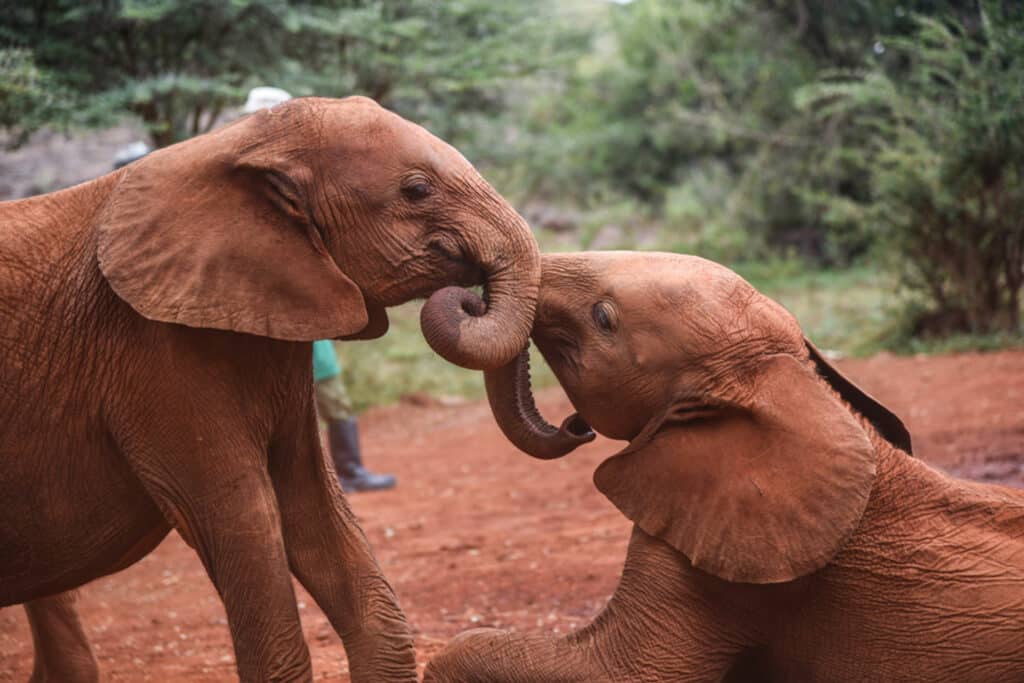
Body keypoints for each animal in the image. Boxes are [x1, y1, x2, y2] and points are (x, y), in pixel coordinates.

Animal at [0, 97, 544, 683]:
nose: (471, 299)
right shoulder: (155, 351)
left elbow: (313, 508)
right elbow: (243, 520)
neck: (244, 142)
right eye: (417, 190)